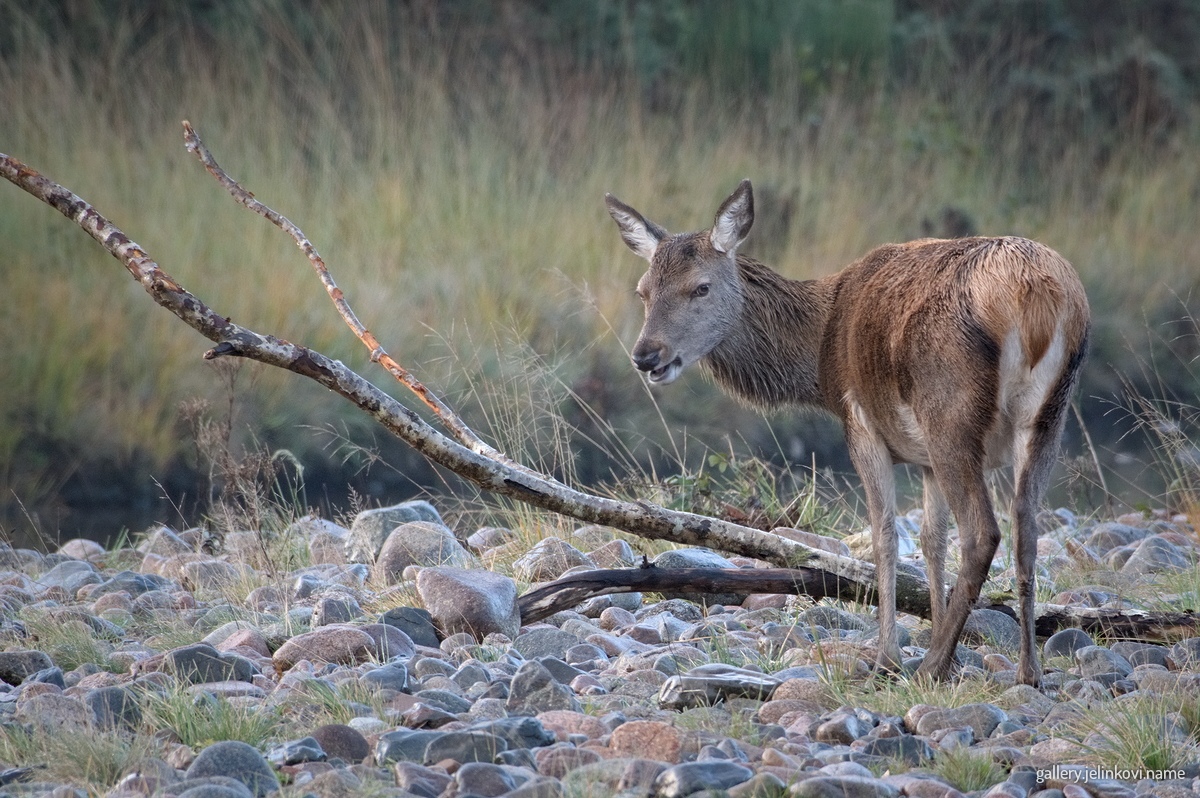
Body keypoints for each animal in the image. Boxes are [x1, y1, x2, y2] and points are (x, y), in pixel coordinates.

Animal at [606, 179, 1090, 684]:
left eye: (700, 287)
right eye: (642, 291)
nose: (646, 355)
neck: (819, 355)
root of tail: (1033, 297)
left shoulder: (860, 421)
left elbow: (884, 537)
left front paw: (889, 657)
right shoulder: (923, 458)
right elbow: (931, 541)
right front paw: (948, 656)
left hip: (949, 410)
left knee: (982, 532)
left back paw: (930, 666)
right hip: (1049, 415)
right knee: (1026, 529)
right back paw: (1025, 672)